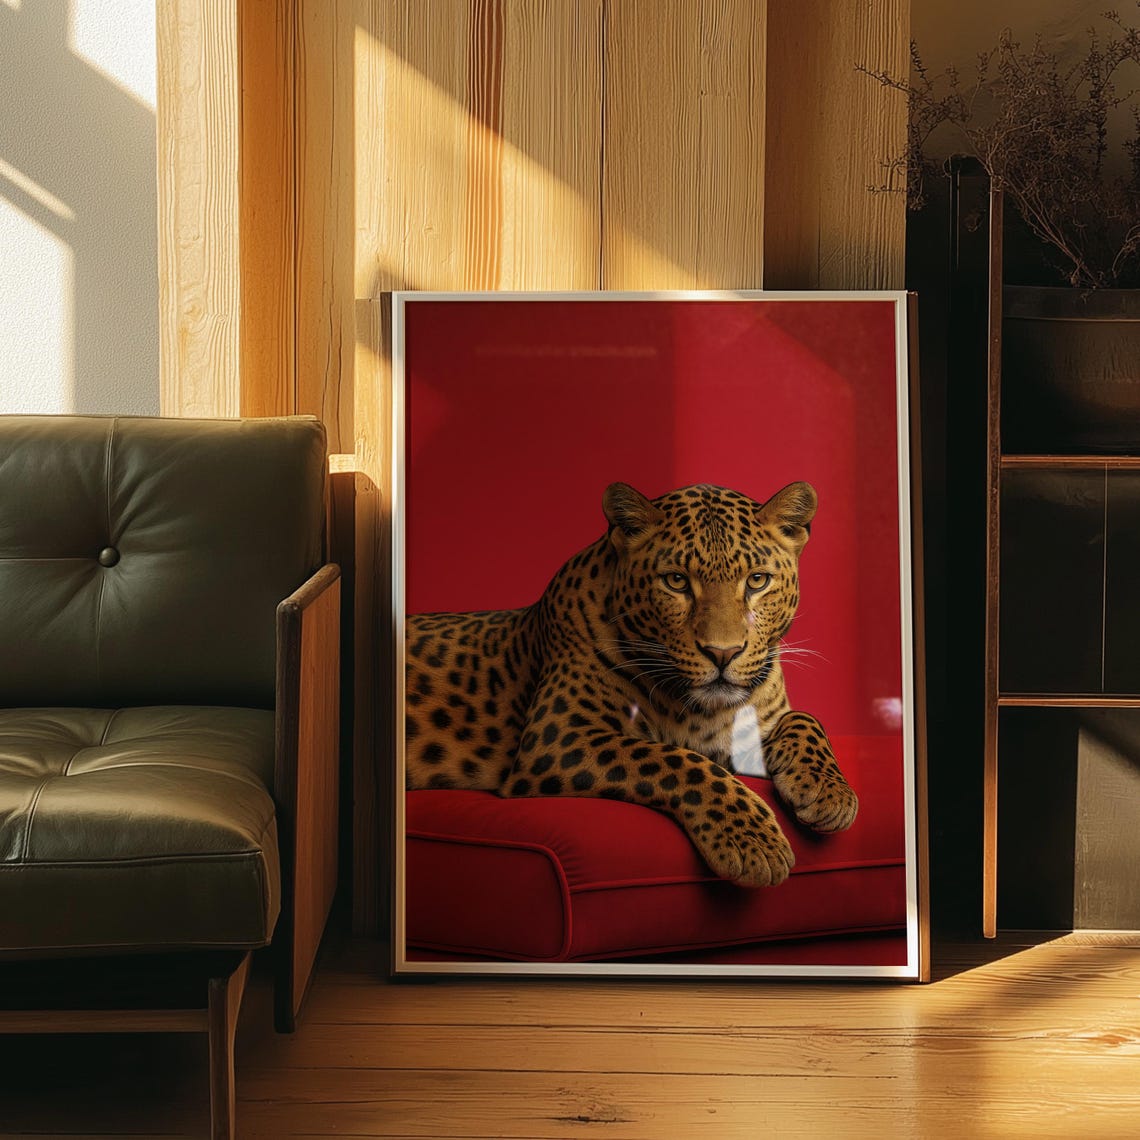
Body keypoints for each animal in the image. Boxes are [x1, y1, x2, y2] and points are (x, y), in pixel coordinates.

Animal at [403, 481, 858, 888]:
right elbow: (673, 758)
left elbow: (806, 719)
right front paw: (753, 842)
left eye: (758, 581)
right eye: (676, 581)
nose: (722, 653)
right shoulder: (558, 736)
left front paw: (830, 793)